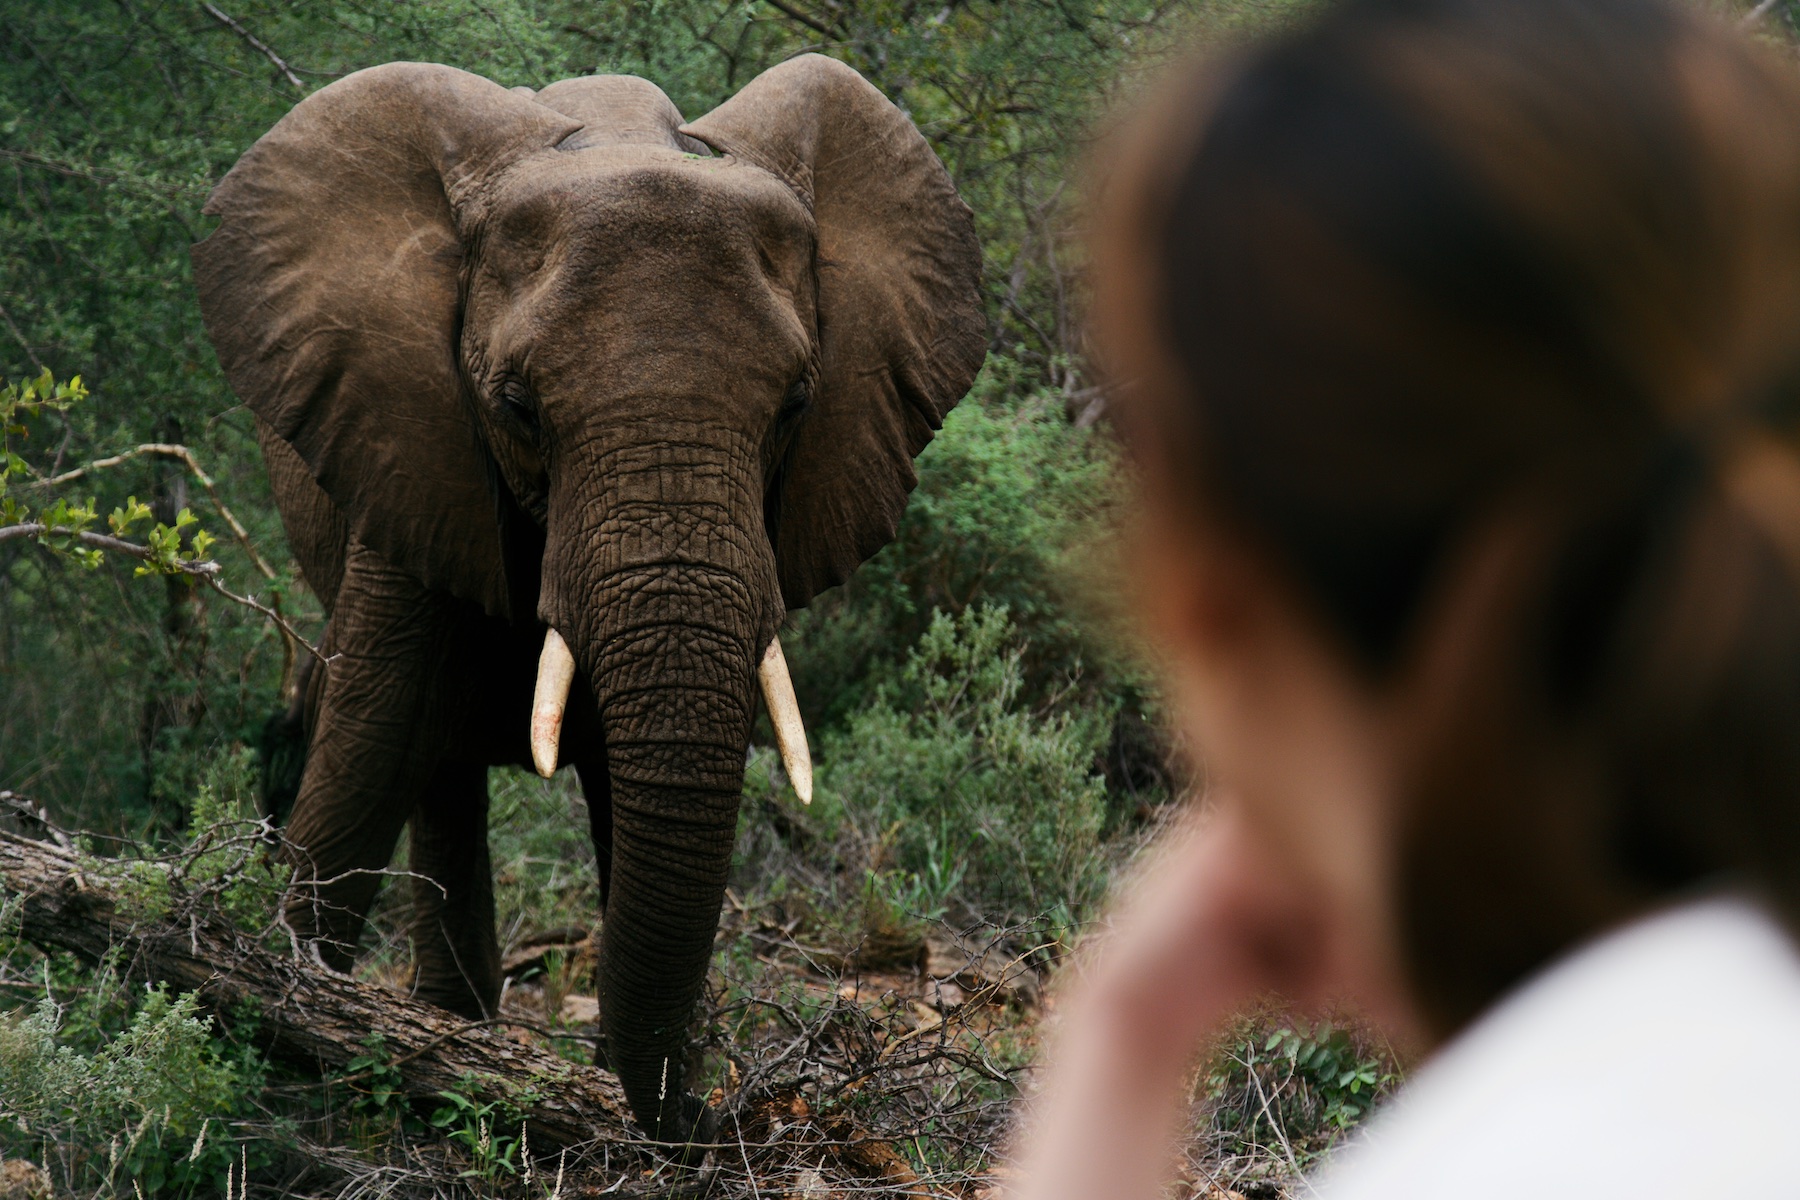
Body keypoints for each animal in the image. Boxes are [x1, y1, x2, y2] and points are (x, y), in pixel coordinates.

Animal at [189, 53, 986, 1144]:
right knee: (428, 761)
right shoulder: (409, 442)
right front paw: (282, 1063)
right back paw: (452, 1029)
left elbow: (622, 779)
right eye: (519, 408)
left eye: (795, 407)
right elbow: (366, 759)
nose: (697, 1122)